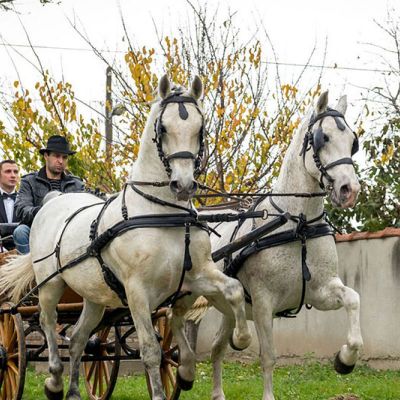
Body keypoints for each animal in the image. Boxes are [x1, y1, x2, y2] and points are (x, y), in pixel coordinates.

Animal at [0, 75, 251, 400]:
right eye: (163, 128)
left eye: (200, 128)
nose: (183, 185)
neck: (162, 214)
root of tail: (54, 200)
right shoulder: (137, 291)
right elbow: (150, 350)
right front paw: (160, 392)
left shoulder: (196, 275)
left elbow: (232, 290)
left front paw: (229, 345)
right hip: (49, 284)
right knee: (47, 322)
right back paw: (54, 381)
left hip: (93, 296)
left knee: (79, 337)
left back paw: (73, 391)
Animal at [207, 91, 363, 400]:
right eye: (323, 138)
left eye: (353, 141)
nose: (348, 190)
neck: (298, 225)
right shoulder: (264, 302)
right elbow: (268, 356)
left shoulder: (321, 292)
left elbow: (353, 299)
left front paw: (345, 359)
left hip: (228, 308)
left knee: (217, 346)